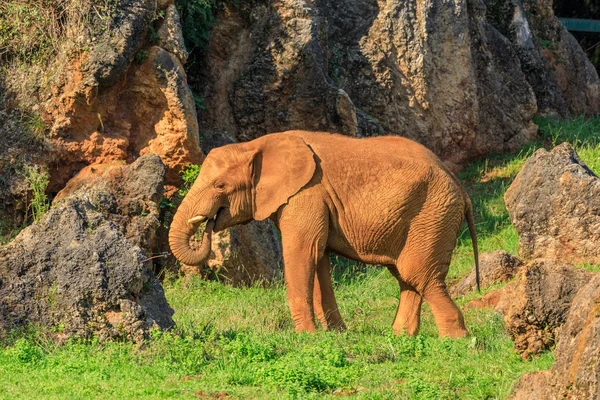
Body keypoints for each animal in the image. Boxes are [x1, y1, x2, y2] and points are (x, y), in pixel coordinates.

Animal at [168, 131, 478, 338]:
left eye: (220, 186)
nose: (208, 224)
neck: (256, 144)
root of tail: (462, 189)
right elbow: (318, 259)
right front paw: (337, 335)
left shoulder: (306, 194)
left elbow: (302, 254)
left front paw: (308, 338)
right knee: (407, 277)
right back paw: (400, 337)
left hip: (433, 214)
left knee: (420, 275)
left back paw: (455, 341)